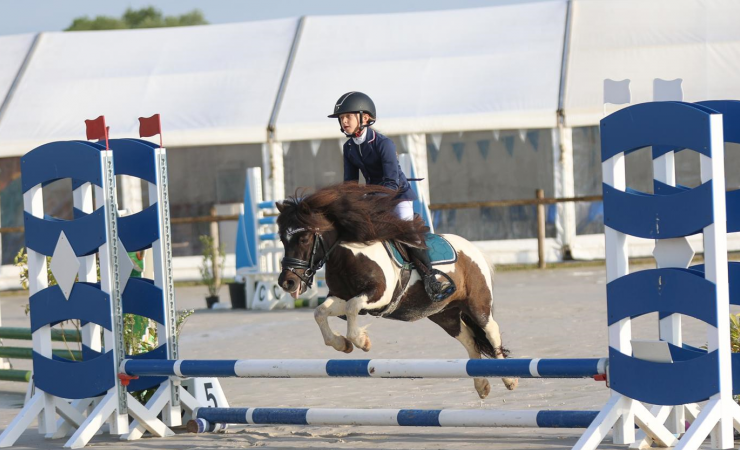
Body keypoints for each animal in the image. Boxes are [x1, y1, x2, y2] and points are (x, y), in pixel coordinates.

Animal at [276, 183, 518, 399]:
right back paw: (482, 385)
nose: (287, 282)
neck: (347, 256)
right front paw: (341, 344)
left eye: (304, 238)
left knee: (491, 331)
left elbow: (353, 307)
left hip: (477, 303)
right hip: (443, 313)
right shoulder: (339, 297)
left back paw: (509, 379)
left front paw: (361, 341)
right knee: (468, 339)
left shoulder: (379, 296)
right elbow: (320, 312)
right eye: (282, 239)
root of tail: (474, 248)